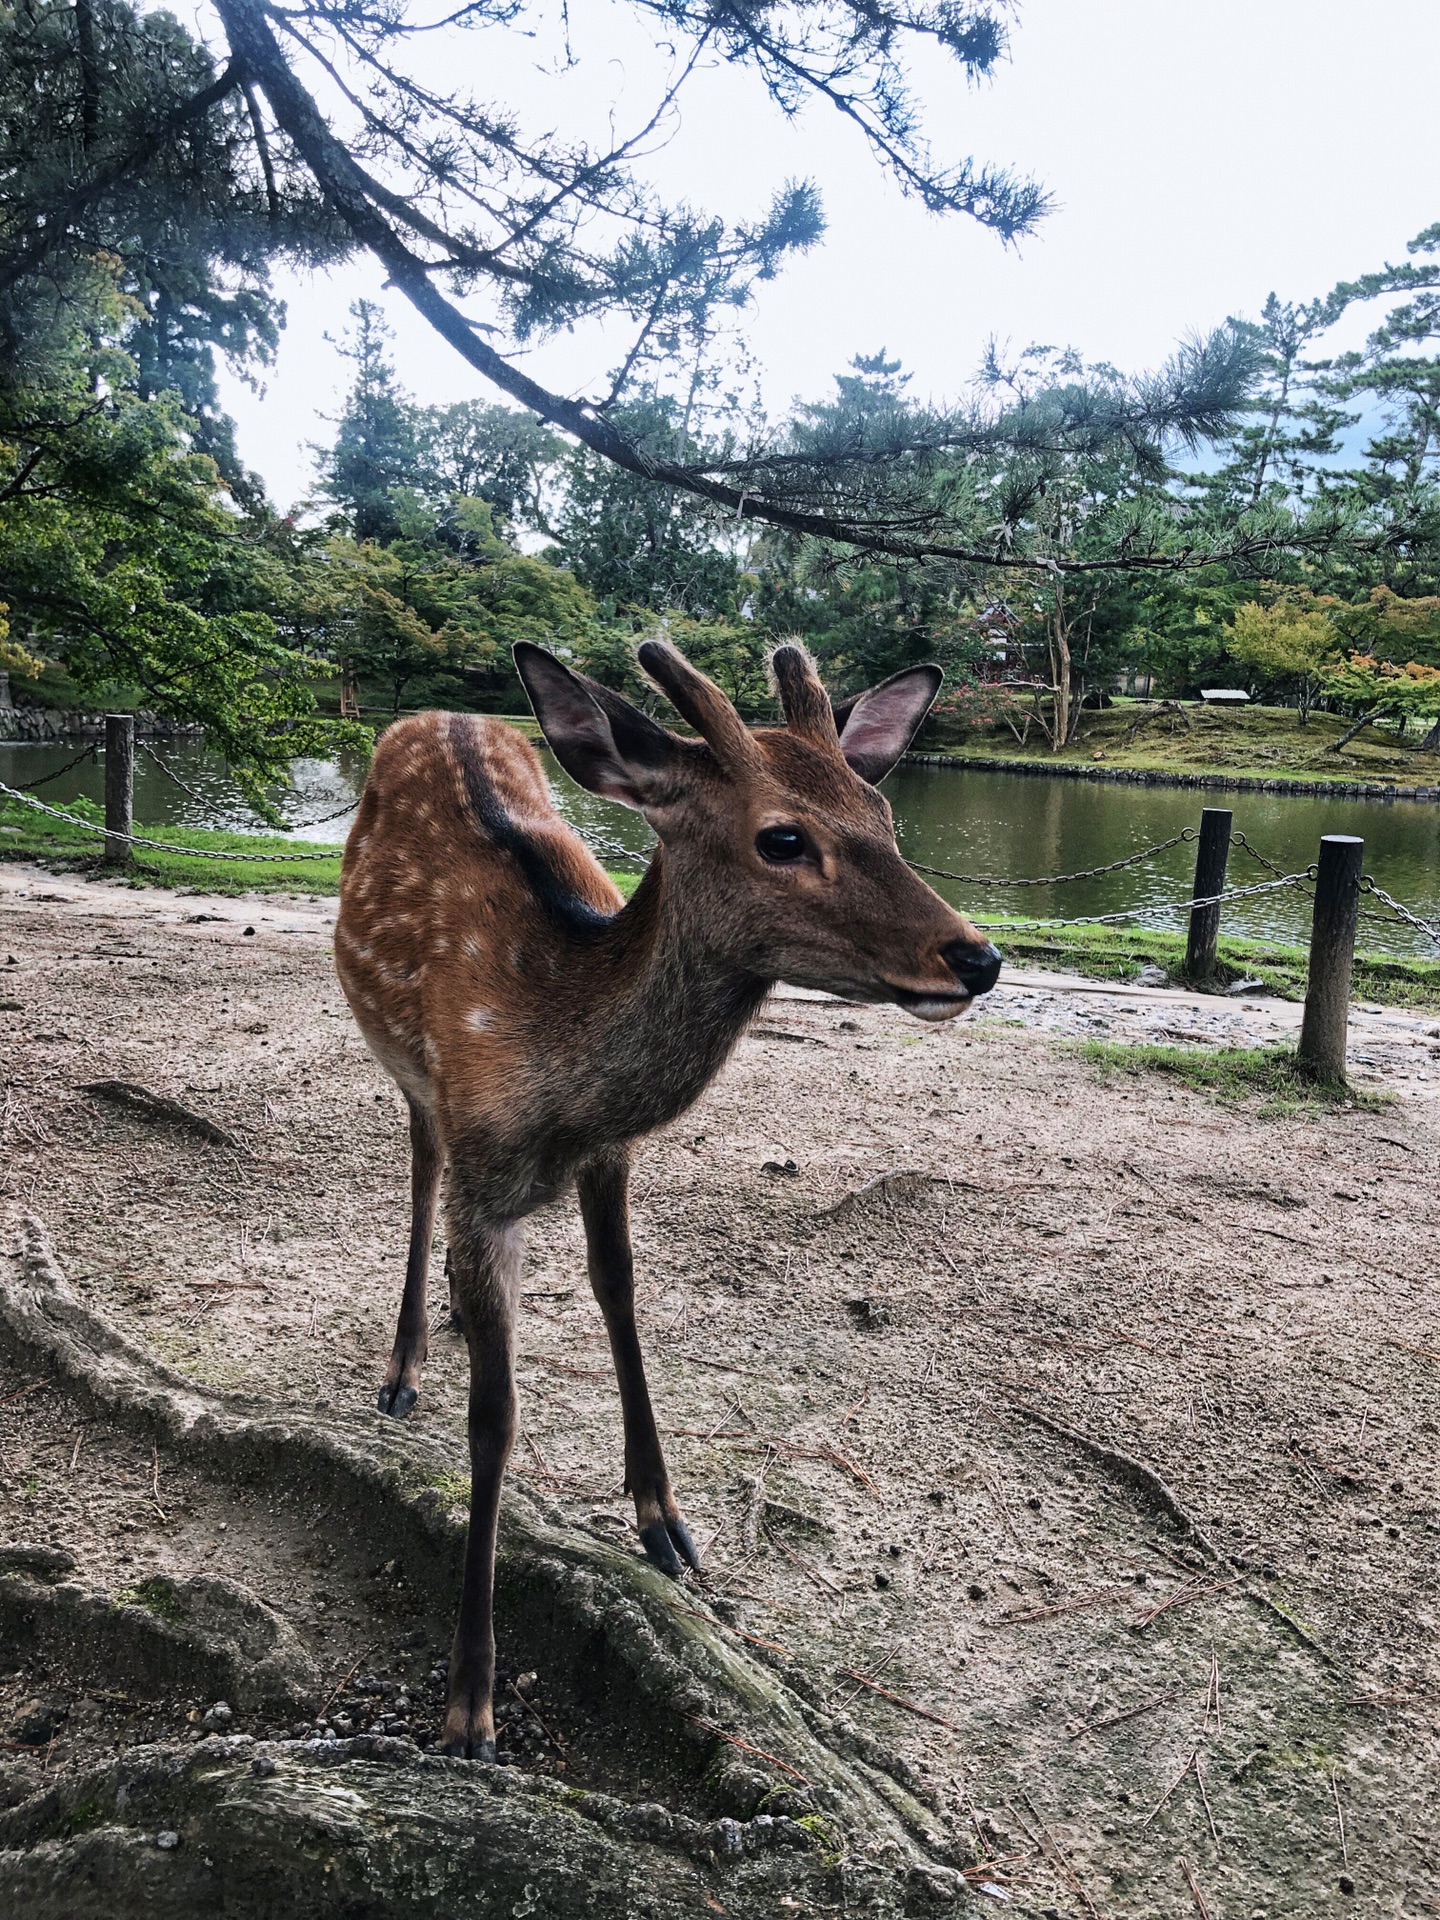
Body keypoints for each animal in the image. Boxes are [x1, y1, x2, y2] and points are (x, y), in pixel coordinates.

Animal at [334, 641, 1006, 1758]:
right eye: (782, 837)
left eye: (884, 813)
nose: (977, 956)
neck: (556, 1061)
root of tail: (436, 714)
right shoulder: (483, 1163)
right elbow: (494, 1420)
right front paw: (469, 1704)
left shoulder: (611, 1154)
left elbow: (621, 1293)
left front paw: (663, 1518)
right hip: (407, 1072)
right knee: (420, 1169)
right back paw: (402, 1367)